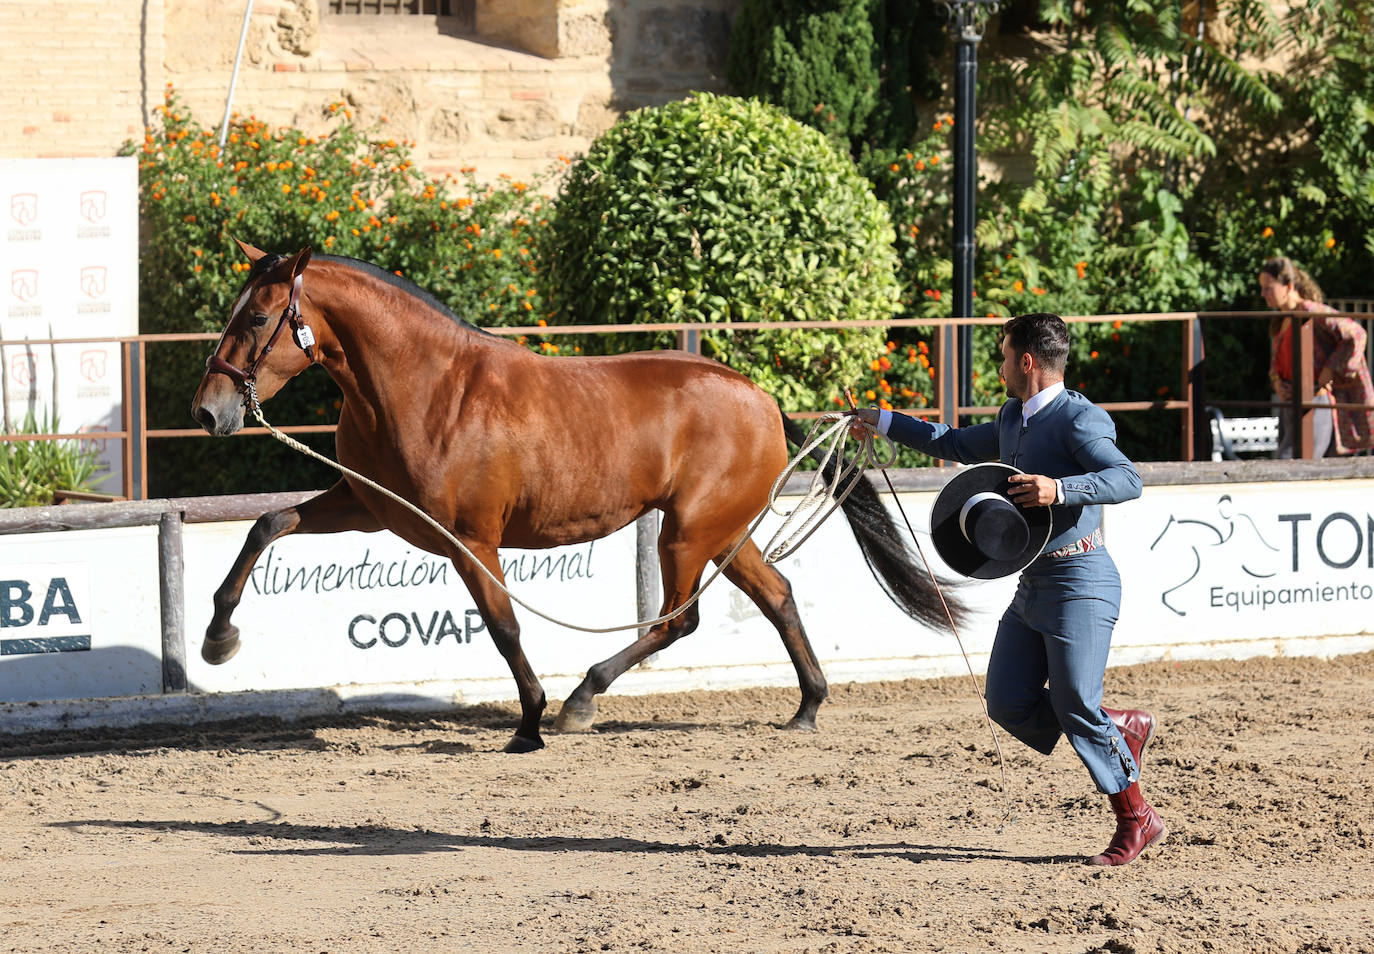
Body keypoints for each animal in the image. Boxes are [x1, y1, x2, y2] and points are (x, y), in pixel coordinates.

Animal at [190, 243, 967, 753]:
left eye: (256, 319)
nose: (207, 411)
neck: (426, 388)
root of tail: (763, 399)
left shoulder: (471, 540)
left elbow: (504, 627)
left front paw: (530, 722)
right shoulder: (368, 504)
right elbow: (268, 523)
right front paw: (218, 638)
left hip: (687, 533)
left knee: (678, 620)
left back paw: (581, 700)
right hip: (721, 532)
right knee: (775, 594)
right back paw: (807, 705)